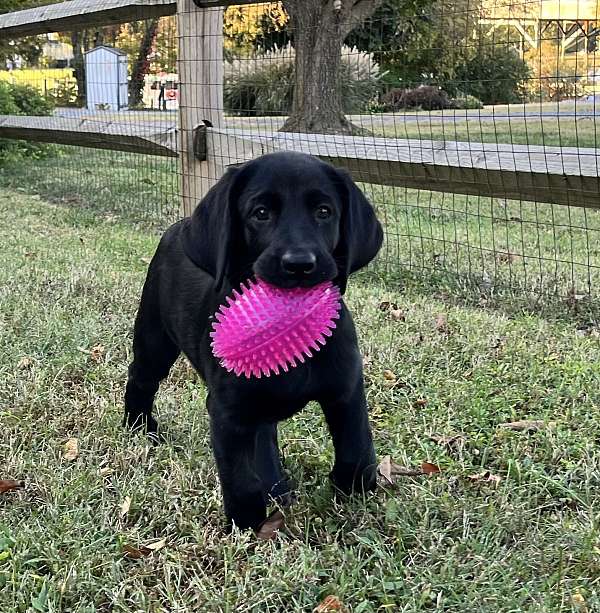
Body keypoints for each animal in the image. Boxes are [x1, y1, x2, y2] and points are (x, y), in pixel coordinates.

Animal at [124, 151, 382, 528]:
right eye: (260, 213)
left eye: (324, 211)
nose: (299, 264)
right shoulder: (228, 411)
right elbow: (240, 478)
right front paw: (246, 525)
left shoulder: (345, 391)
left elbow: (356, 451)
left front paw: (349, 491)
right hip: (154, 337)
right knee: (141, 378)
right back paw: (138, 428)